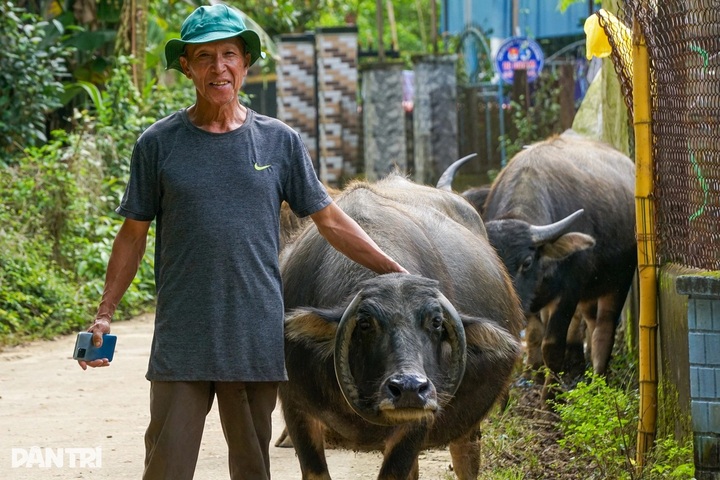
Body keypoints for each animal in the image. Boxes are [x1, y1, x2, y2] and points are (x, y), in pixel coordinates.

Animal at [278, 174, 524, 479]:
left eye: (436, 322)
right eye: (364, 323)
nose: (409, 387)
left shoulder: (418, 420)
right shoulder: (296, 408)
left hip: (467, 425)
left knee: (466, 455)